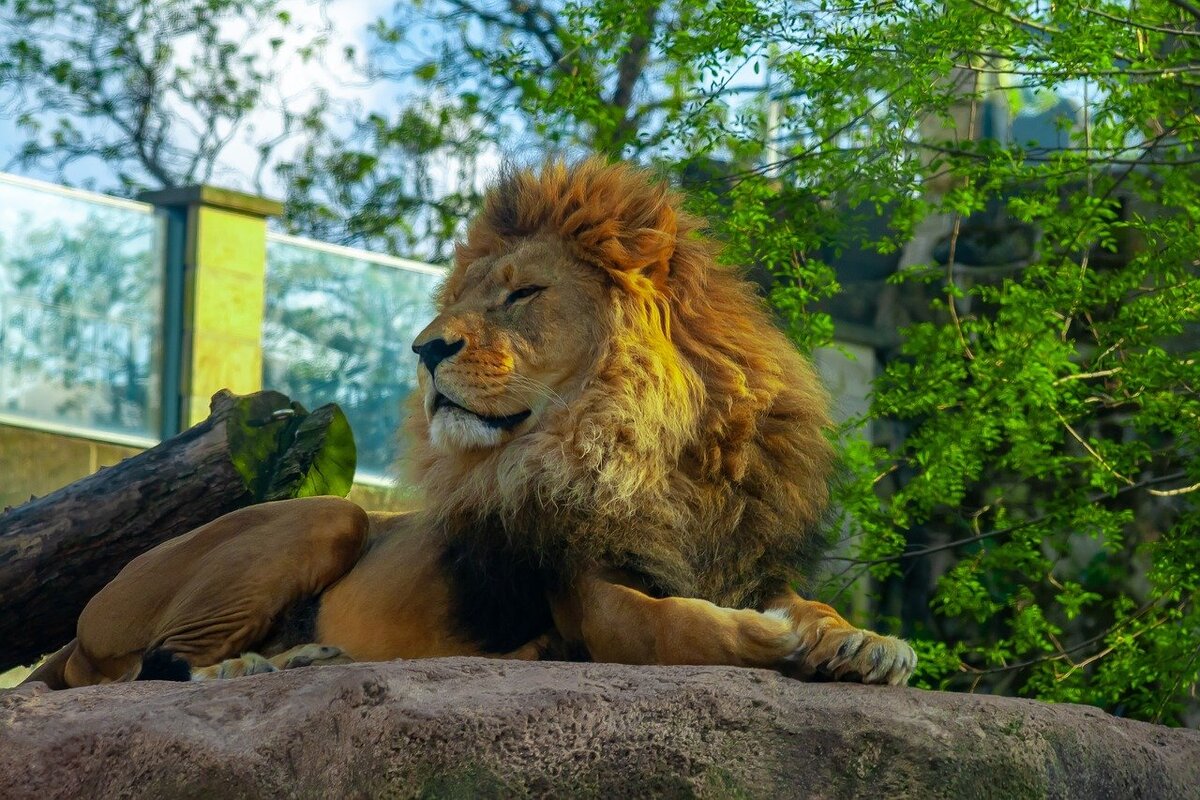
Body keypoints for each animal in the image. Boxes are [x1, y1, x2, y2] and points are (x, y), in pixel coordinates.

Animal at [28, 160, 912, 690]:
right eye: (458, 302)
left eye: (522, 294)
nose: (424, 349)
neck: (646, 455)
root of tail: (74, 629)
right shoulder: (589, 594)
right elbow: (677, 626)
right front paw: (774, 643)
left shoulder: (745, 563)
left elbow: (809, 606)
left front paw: (863, 642)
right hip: (324, 515)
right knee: (155, 667)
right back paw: (260, 669)